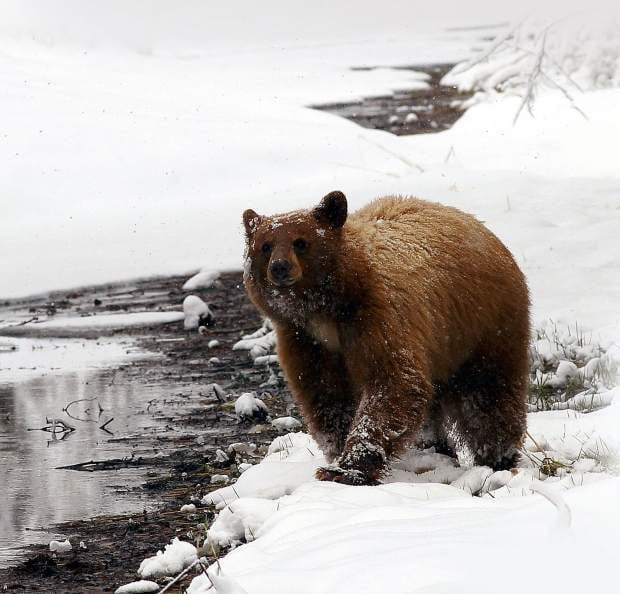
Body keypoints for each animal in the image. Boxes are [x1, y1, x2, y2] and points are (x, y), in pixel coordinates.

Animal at [241, 192, 528, 484]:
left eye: (301, 242)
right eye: (265, 246)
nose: (280, 267)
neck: (327, 311)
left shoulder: (378, 318)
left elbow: (393, 383)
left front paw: (347, 468)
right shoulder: (305, 340)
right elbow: (326, 394)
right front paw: (338, 453)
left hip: (480, 325)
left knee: (487, 394)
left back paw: (497, 457)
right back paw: (433, 448)